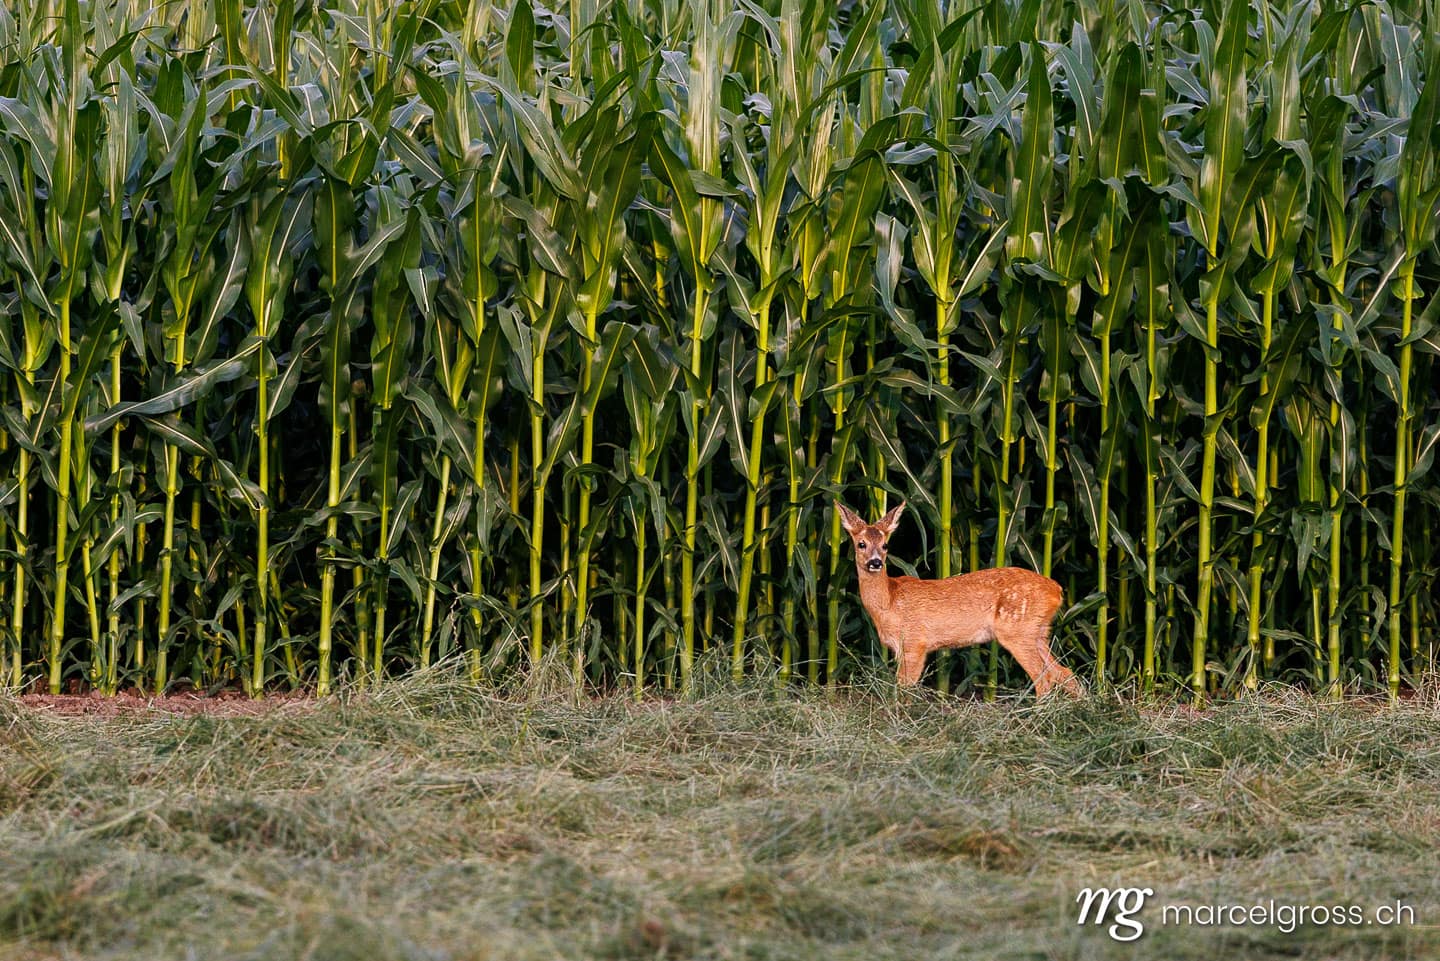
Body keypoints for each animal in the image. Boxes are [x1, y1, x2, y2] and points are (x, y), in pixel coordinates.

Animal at [836, 500, 1083, 697]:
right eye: (861, 544)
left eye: (885, 545)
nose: (876, 562)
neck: (889, 603)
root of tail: (1056, 590)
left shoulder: (915, 643)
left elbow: (904, 689)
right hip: (1038, 632)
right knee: (1065, 673)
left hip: (1017, 631)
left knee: (1044, 678)